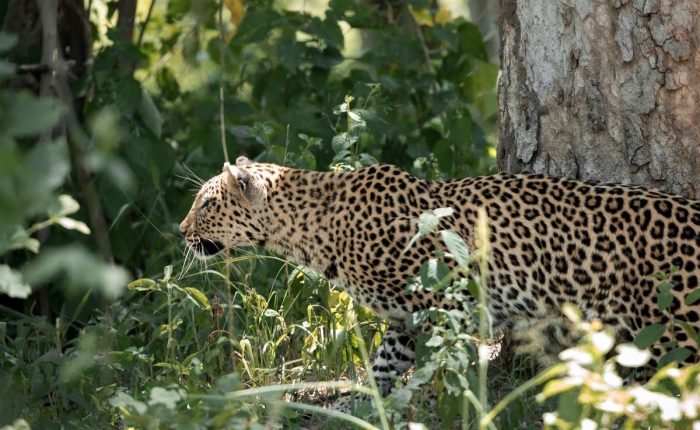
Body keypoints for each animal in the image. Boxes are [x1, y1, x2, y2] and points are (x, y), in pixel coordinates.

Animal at [179, 156, 700, 407]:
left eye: (206, 203)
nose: (182, 231)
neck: (313, 231)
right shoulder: (406, 318)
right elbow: (386, 364)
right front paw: (363, 404)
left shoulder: (456, 300)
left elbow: (446, 363)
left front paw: (437, 399)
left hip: (675, 328)